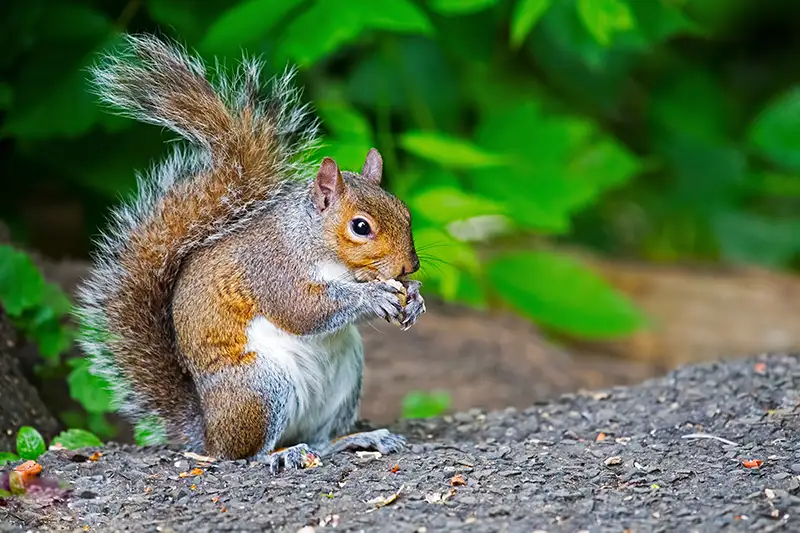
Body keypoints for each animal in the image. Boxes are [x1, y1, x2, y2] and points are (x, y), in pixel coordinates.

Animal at [74, 34, 424, 470]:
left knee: (319, 439)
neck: (313, 241)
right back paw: (282, 454)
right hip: (259, 388)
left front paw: (414, 298)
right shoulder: (271, 268)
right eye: (361, 227)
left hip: (345, 379)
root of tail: (207, 433)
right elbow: (301, 309)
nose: (410, 266)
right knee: (243, 455)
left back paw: (356, 440)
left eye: (405, 211)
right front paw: (372, 296)